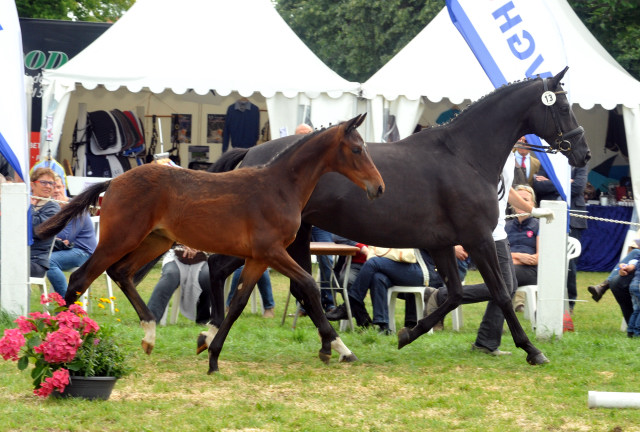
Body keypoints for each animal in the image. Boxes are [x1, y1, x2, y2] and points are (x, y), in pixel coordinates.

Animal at [36, 114, 384, 372]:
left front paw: (213, 355)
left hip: (155, 241)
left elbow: (238, 303)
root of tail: (113, 181)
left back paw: (149, 335)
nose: (378, 188)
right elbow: (309, 285)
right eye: (357, 149)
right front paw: (335, 348)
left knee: (120, 273)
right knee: (81, 278)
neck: (279, 186)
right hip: (120, 239)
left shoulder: (258, 258)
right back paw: (61, 342)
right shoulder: (272, 252)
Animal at [205, 68, 592, 372]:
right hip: (271, 242)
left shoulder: (443, 244)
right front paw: (532, 350)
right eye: (563, 106)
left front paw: (407, 333)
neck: (464, 156)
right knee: (226, 269)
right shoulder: (477, 238)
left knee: (285, 283)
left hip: (291, 239)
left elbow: (455, 293)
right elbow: (498, 293)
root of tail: (251, 153)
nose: (583, 152)